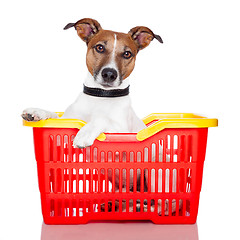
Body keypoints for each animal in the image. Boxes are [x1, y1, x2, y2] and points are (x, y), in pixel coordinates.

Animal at [22, 18, 165, 214]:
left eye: (127, 54)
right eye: (99, 48)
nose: (109, 74)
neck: (101, 95)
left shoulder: (121, 134)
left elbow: (101, 120)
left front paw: (84, 133)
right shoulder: (66, 122)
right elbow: (55, 116)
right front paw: (37, 112)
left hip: (155, 173)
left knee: (162, 205)